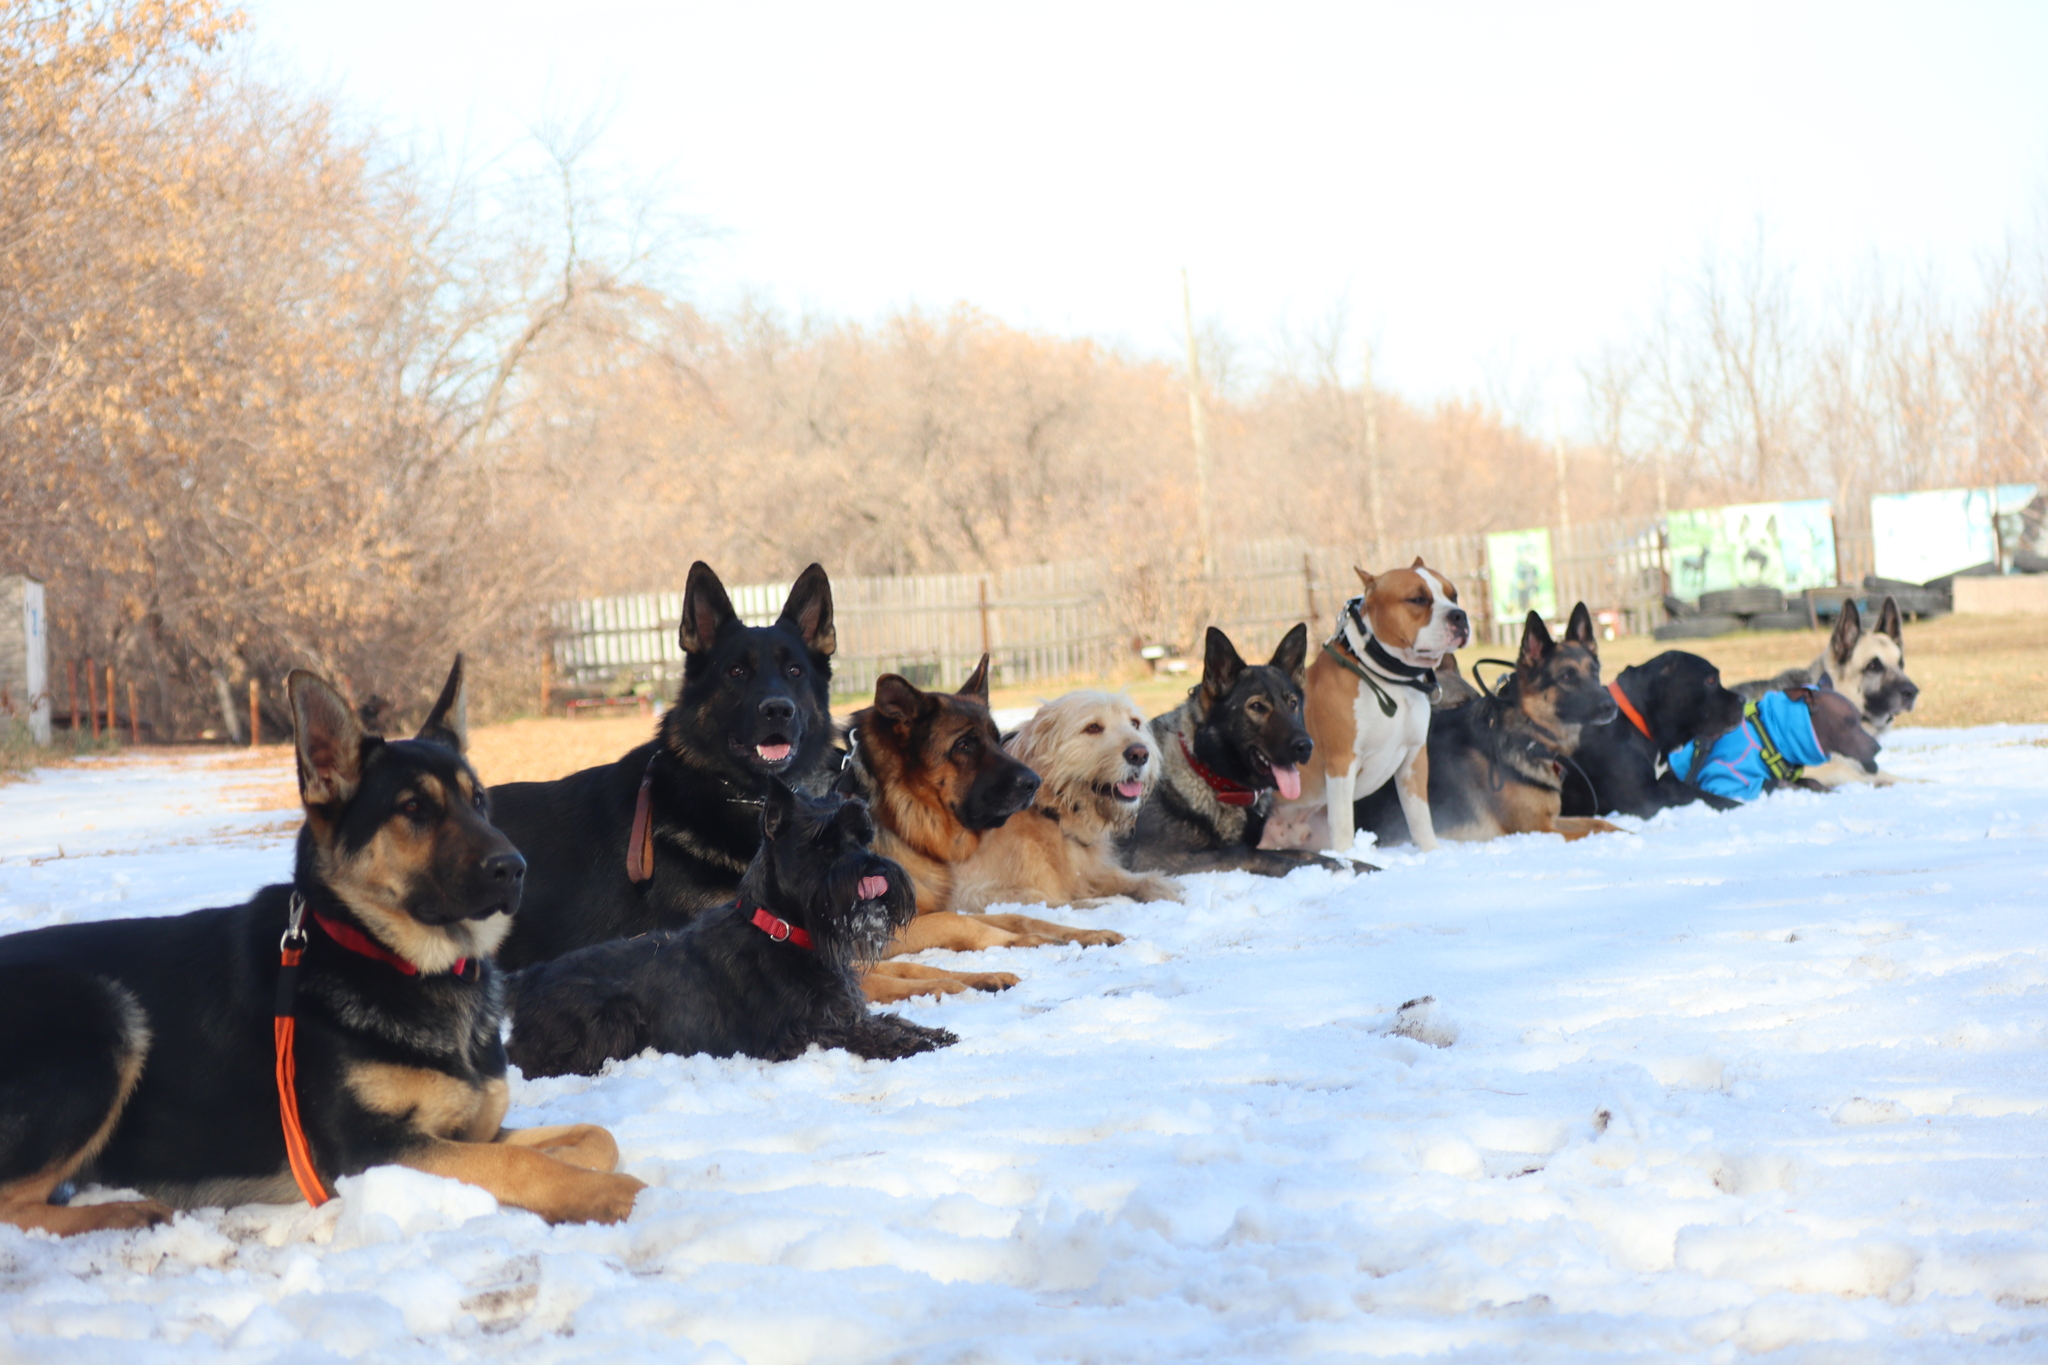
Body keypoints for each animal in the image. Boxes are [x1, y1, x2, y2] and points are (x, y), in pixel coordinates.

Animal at [507, 777, 962, 1080]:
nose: (875, 873)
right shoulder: (798, 1033)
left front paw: (930, 1032)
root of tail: (529, 979)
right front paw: (912, 1043)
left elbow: (888, 1019)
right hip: (612, 1016)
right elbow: (864, 1033)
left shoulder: (846, 1010)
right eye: (824, 842)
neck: (782, 931)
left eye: (863, 837)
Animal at [946, 695, 1179, 908]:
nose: (1140, 754)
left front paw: (1159, 887)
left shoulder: (1089, 872)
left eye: (1135, 723)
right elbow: (1057, 901)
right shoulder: (973, 893)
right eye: (1093, 727)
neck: (1052, 813)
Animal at [1286, 560, 1466, 847]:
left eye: (1454, 595)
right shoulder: (1341, 762)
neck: (1390, 681)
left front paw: (1431, 851)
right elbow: (1342, 824)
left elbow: (1419, 817)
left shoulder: (1414, 758)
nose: (1459, 615)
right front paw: (1346, 856)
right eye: (1418, 599)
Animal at [1564, 646, 1744, 818]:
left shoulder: (1669, 782)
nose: (1743, 699)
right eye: (1711, 679)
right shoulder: (1648, 800)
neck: (1640, 721)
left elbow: (1705, 795)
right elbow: (1712, 800)